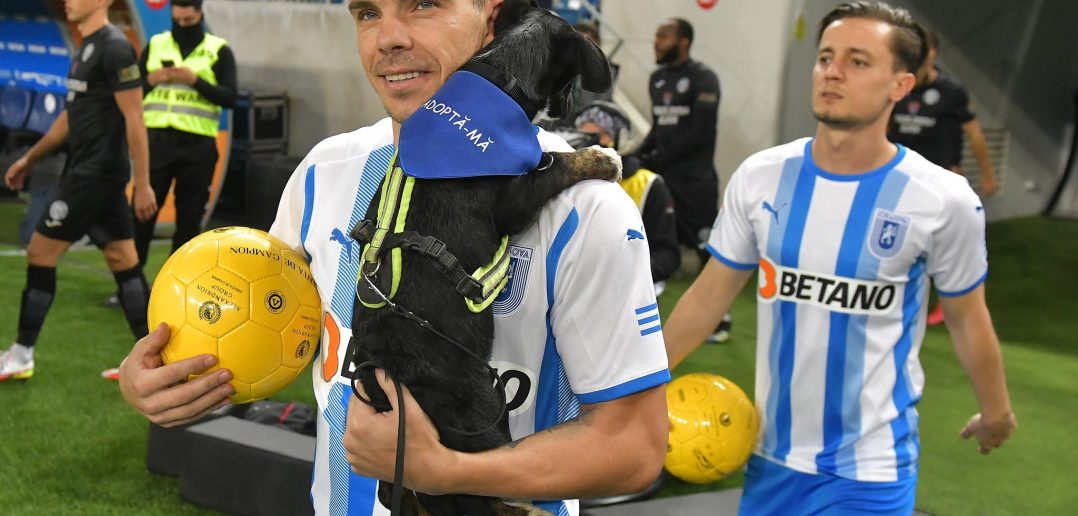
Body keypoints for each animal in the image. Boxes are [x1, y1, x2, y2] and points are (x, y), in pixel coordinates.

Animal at [347, 3, 619, 516]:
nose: (569, 111)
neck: (501, 71)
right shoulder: (516, 198)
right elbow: (555, 165)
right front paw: (599, 157)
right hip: (484, 409)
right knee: (484, 486)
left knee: (406, 495)